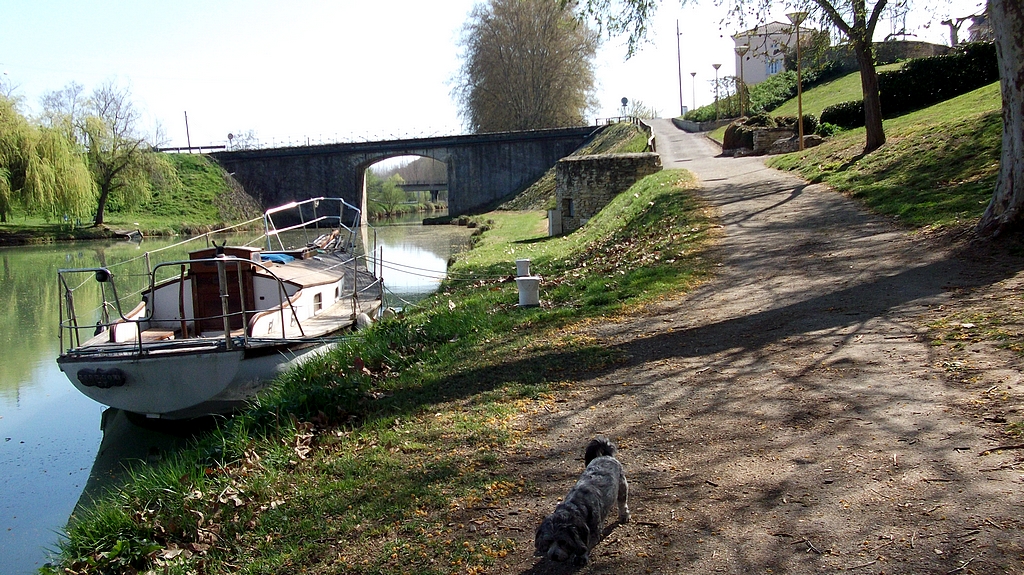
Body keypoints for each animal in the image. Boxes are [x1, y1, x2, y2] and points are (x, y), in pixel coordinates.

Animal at [532, 433, 626, 564]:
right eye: (549, 541)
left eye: (563, 542)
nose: (553, 556)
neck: (576, 505)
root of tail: (606, 456)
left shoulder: (593, 532)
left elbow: (586, 544)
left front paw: (580, 557)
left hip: (622, 486)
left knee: (622, 502)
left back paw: (624, 515)